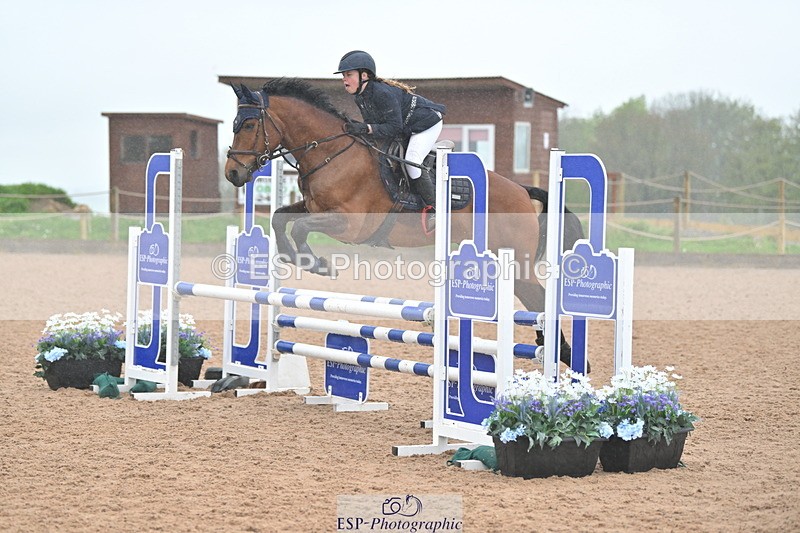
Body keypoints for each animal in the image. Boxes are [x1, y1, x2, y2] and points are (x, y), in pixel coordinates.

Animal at [224, 79, 585, 364]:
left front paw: (317, 264)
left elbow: (300, 227)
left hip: (516, 262)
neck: (333, 152)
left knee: (539, 301)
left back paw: (563, 358)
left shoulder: (350, 224)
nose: (233, 174)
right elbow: (280, 218)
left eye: (249, 126)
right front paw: (293, 257)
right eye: (235, 123)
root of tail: (522, 191)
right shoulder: (314, 207)